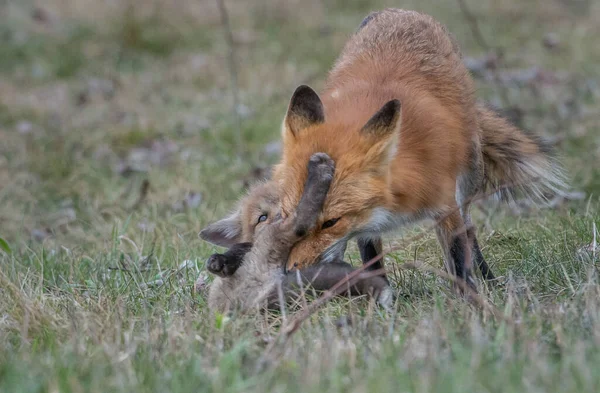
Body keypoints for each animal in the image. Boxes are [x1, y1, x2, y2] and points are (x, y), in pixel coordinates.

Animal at [199, 152, 392, 312]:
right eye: (262, 217)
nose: (282, 214)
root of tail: (250, 305)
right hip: (278, 235)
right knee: (300, 220)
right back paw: (319, 170)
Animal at [270, 7, 564, 286]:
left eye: (331, 222)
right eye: (287, 215)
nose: (291, 271)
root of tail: (399, 12)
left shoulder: (445, 204)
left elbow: (460, 262)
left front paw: (469, 301)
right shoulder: (365, 223)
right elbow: (371, 260)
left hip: (470, 173)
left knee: (470, 228)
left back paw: (489, 280)